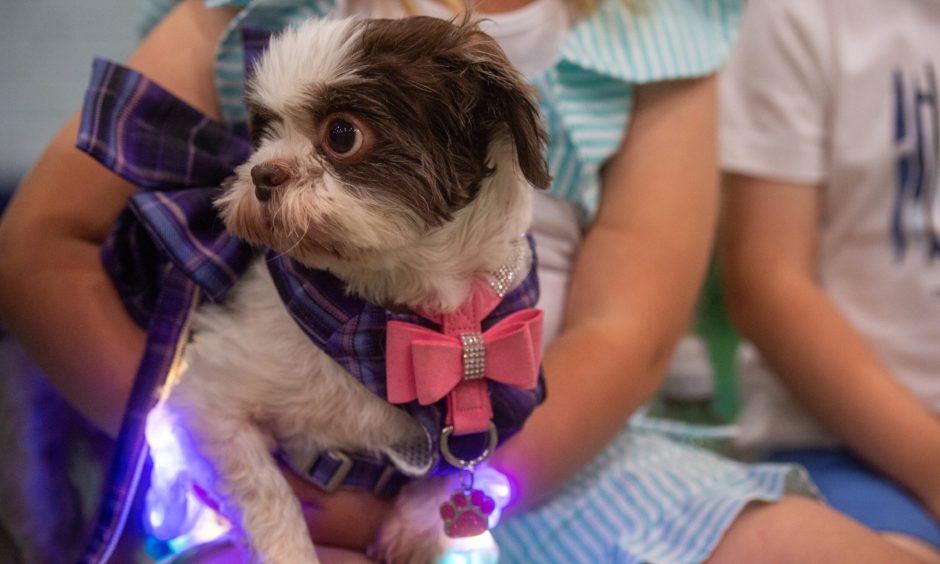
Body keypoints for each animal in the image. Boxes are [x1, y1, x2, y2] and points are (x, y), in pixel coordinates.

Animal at [147, 13, 552, 564]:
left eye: (342, 134)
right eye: (263, 132)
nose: (262, 173)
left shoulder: (506, 389)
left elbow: (450, 471)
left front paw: (412, 532)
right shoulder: (205, 403)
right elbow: (266, 490)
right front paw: (290, 550)